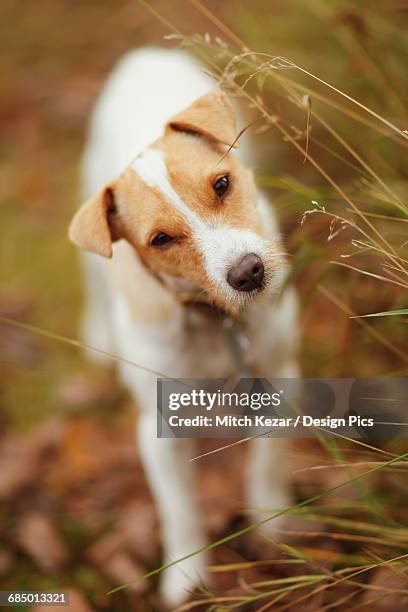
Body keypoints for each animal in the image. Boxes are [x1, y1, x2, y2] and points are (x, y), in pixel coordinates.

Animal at [68, 47, 298, 608]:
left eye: (222, 184)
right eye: (161, 239)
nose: (248, 273)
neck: (213, 321)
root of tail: (142, 56)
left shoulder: (281, 378)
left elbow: (268, 459)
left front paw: (272, 522)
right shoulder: (160, 431)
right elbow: (179, 510)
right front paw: (187, 576)